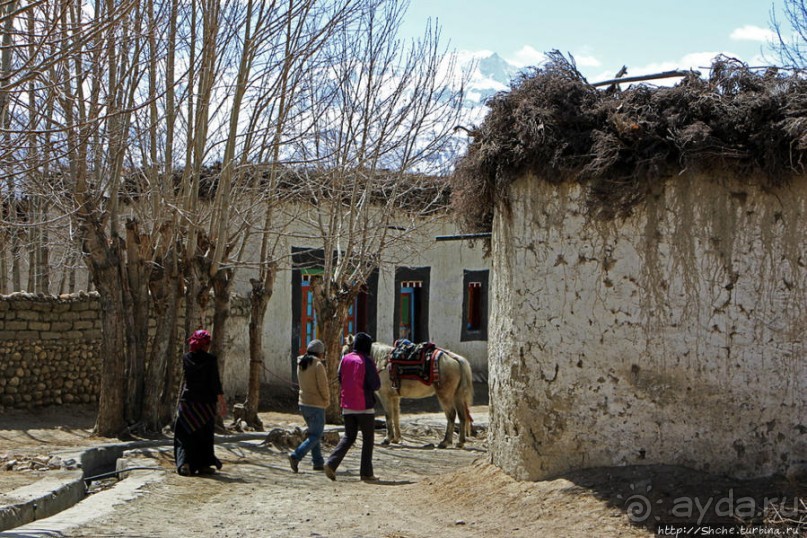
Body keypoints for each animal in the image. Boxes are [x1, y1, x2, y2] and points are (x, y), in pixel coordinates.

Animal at [340, 332, 474, 446]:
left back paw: (445, 442)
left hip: (444, 396)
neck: (381, 361)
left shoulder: (385, 396)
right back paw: (460, 442)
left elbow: (388, 415)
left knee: (451, 415)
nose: (340, 371)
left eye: (345, 352)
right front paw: (396, 438)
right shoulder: (395, 397)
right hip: (457, 396)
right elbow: (396, 416)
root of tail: (454, 358)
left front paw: (387, 439)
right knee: (462, 416)